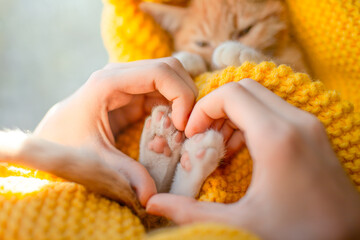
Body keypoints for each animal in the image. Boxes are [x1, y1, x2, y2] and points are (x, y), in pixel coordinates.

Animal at [138, 0, 310, 197]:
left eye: (245, 31)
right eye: (202, 43)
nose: (214, 63)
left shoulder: (302, 72)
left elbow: (276, 64)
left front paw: (237, 51)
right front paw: (188, 59)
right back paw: (160, 147)